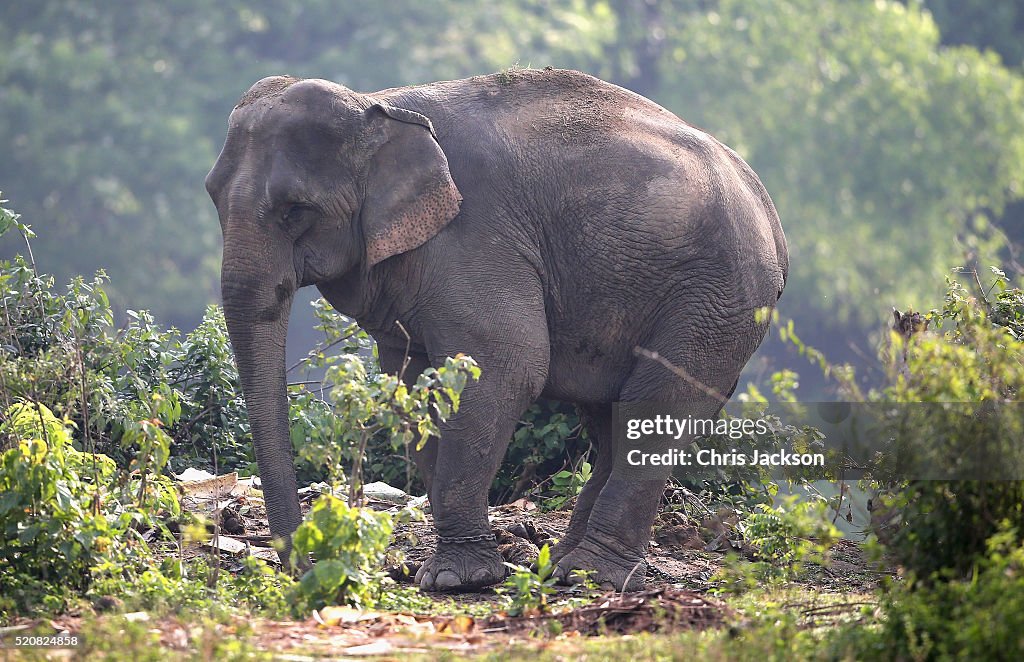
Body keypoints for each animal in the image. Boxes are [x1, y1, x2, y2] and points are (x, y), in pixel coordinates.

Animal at [203, 67, 786, 594]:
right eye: (212, 196)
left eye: (296, 210)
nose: (305, 565)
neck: (377, 104)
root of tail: (767, 208)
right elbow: (416, 384)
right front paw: (453, 572)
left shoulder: (474, 239)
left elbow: (506, 366)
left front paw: (454, 580)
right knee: (612, 418)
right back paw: (563, 566)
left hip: (717, 296)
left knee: (656, 405)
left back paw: (591, 577)